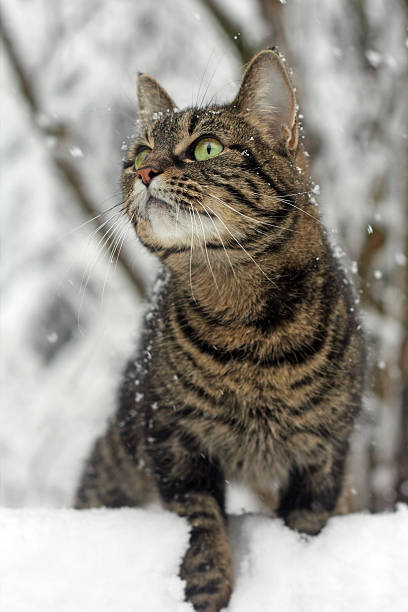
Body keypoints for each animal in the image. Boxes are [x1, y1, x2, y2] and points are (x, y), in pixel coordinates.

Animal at [75, 49, 364, 612]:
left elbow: (305, 525)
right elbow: (200, 523)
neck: (247, 327)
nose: (146, 171)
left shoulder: (324, 454)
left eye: (205, 147)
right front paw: (207, 592)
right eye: (139, 152)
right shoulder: (172, 438)